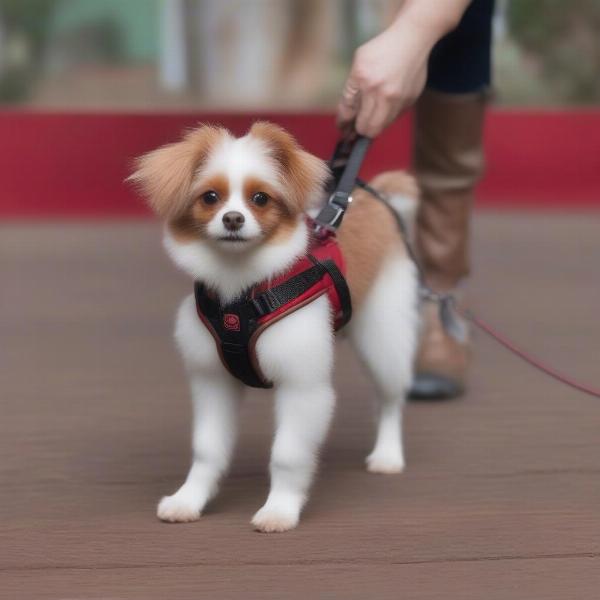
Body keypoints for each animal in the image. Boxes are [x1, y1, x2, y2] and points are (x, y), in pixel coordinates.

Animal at [129, 120, 420, 528]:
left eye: (260, 199)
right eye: (210, 197)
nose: (233, 219)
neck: (240, 289)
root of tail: (374, 202)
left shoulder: (302, 387)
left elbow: (288, 454)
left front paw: (279, 510)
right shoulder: (212, 381)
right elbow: (206, 449)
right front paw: (189, 500)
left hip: (383, 337)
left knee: (391, 398)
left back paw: (388, 456)